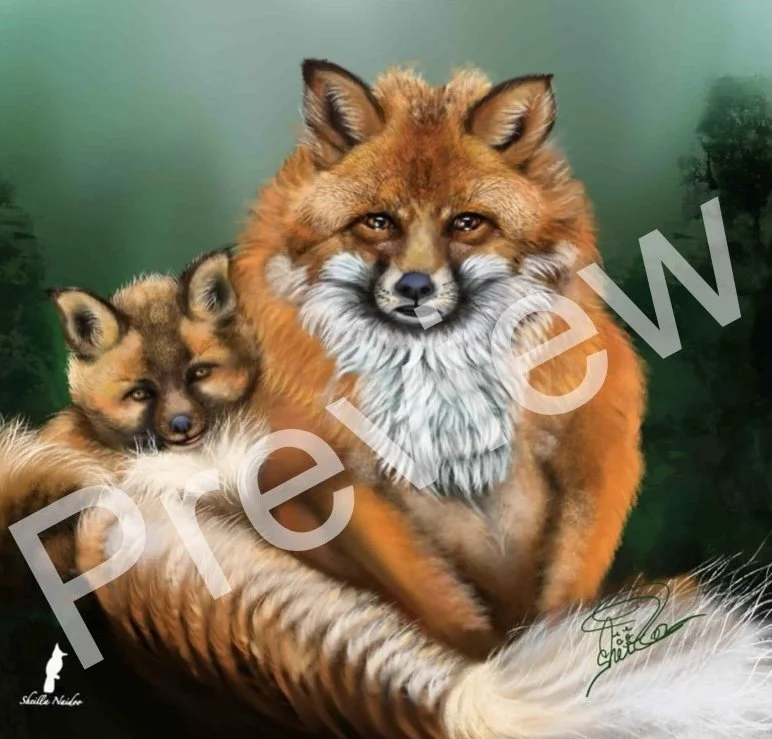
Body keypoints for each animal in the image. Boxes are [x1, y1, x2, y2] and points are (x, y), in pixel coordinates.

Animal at [231, 59, 645, 637]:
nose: (415, 288)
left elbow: (567, 584)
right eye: (378, 221)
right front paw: (483, 652)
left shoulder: (599, 442)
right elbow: (441, 602)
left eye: (466, 222)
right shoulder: (335, 476)